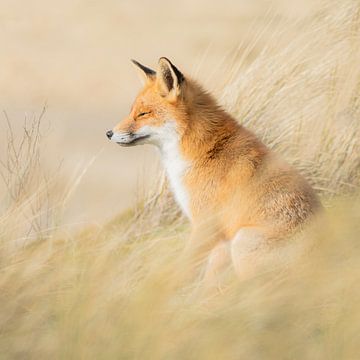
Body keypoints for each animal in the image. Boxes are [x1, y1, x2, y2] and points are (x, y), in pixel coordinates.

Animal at [106, 57, 320, 282]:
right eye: (131, 111)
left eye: (143, 113)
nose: (109, 133)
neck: (202, 151)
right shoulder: (219, 236)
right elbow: (210, 280)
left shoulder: (205, 225)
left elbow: (184, 270)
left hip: (242, 242)